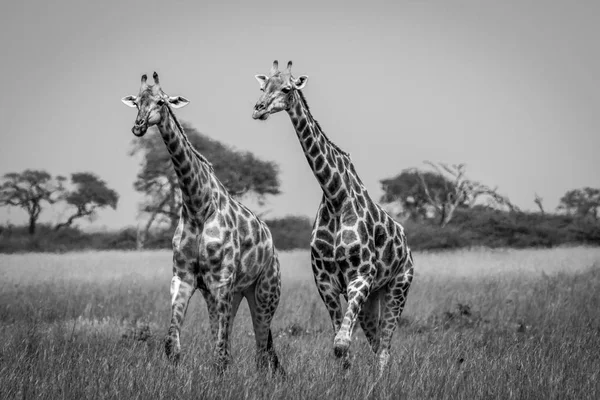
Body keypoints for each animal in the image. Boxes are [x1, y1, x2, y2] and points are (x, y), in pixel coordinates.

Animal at [120, 72, 284, 376]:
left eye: (161, 102)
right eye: (137, 101)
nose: (138, 127)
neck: (197, 206)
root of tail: (271, 244)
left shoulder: (222, 280)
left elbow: (220, 351)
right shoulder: (183, 277)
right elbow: (173, 345)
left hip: (265, 292)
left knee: (261, 349)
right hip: (232, 293)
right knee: (235, 340)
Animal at [251, 61, 414, 374]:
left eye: (287, 88)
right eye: (263, 86)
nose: (258, 109)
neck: (336, 197)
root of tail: (408, 249)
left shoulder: (360, 276)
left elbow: (341, 343)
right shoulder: (325, 282)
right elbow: (341, 349)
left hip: (398, 286)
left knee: (385, 348)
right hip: (373, 297)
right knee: (377, 343)